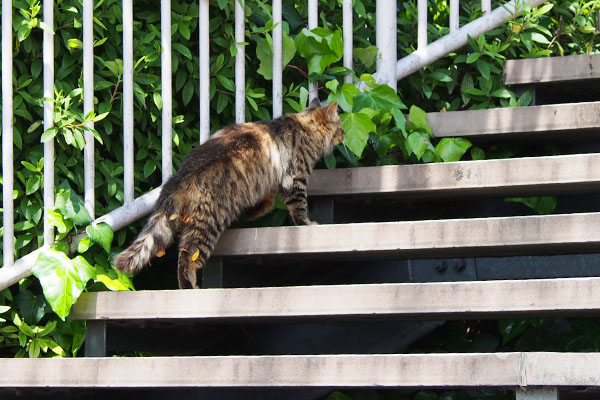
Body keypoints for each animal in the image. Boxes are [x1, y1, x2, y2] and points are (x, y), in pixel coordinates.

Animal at [115, 99, 344, 288]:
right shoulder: (295, 179)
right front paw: (308, 224)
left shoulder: (266, 181)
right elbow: (299, 209)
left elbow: (267, 200)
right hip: (209, 223)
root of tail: (182, 174)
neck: (303, 125)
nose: (344, 135)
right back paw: (190, 288)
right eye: (341, 125)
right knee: (188, 256)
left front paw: (255, 212)